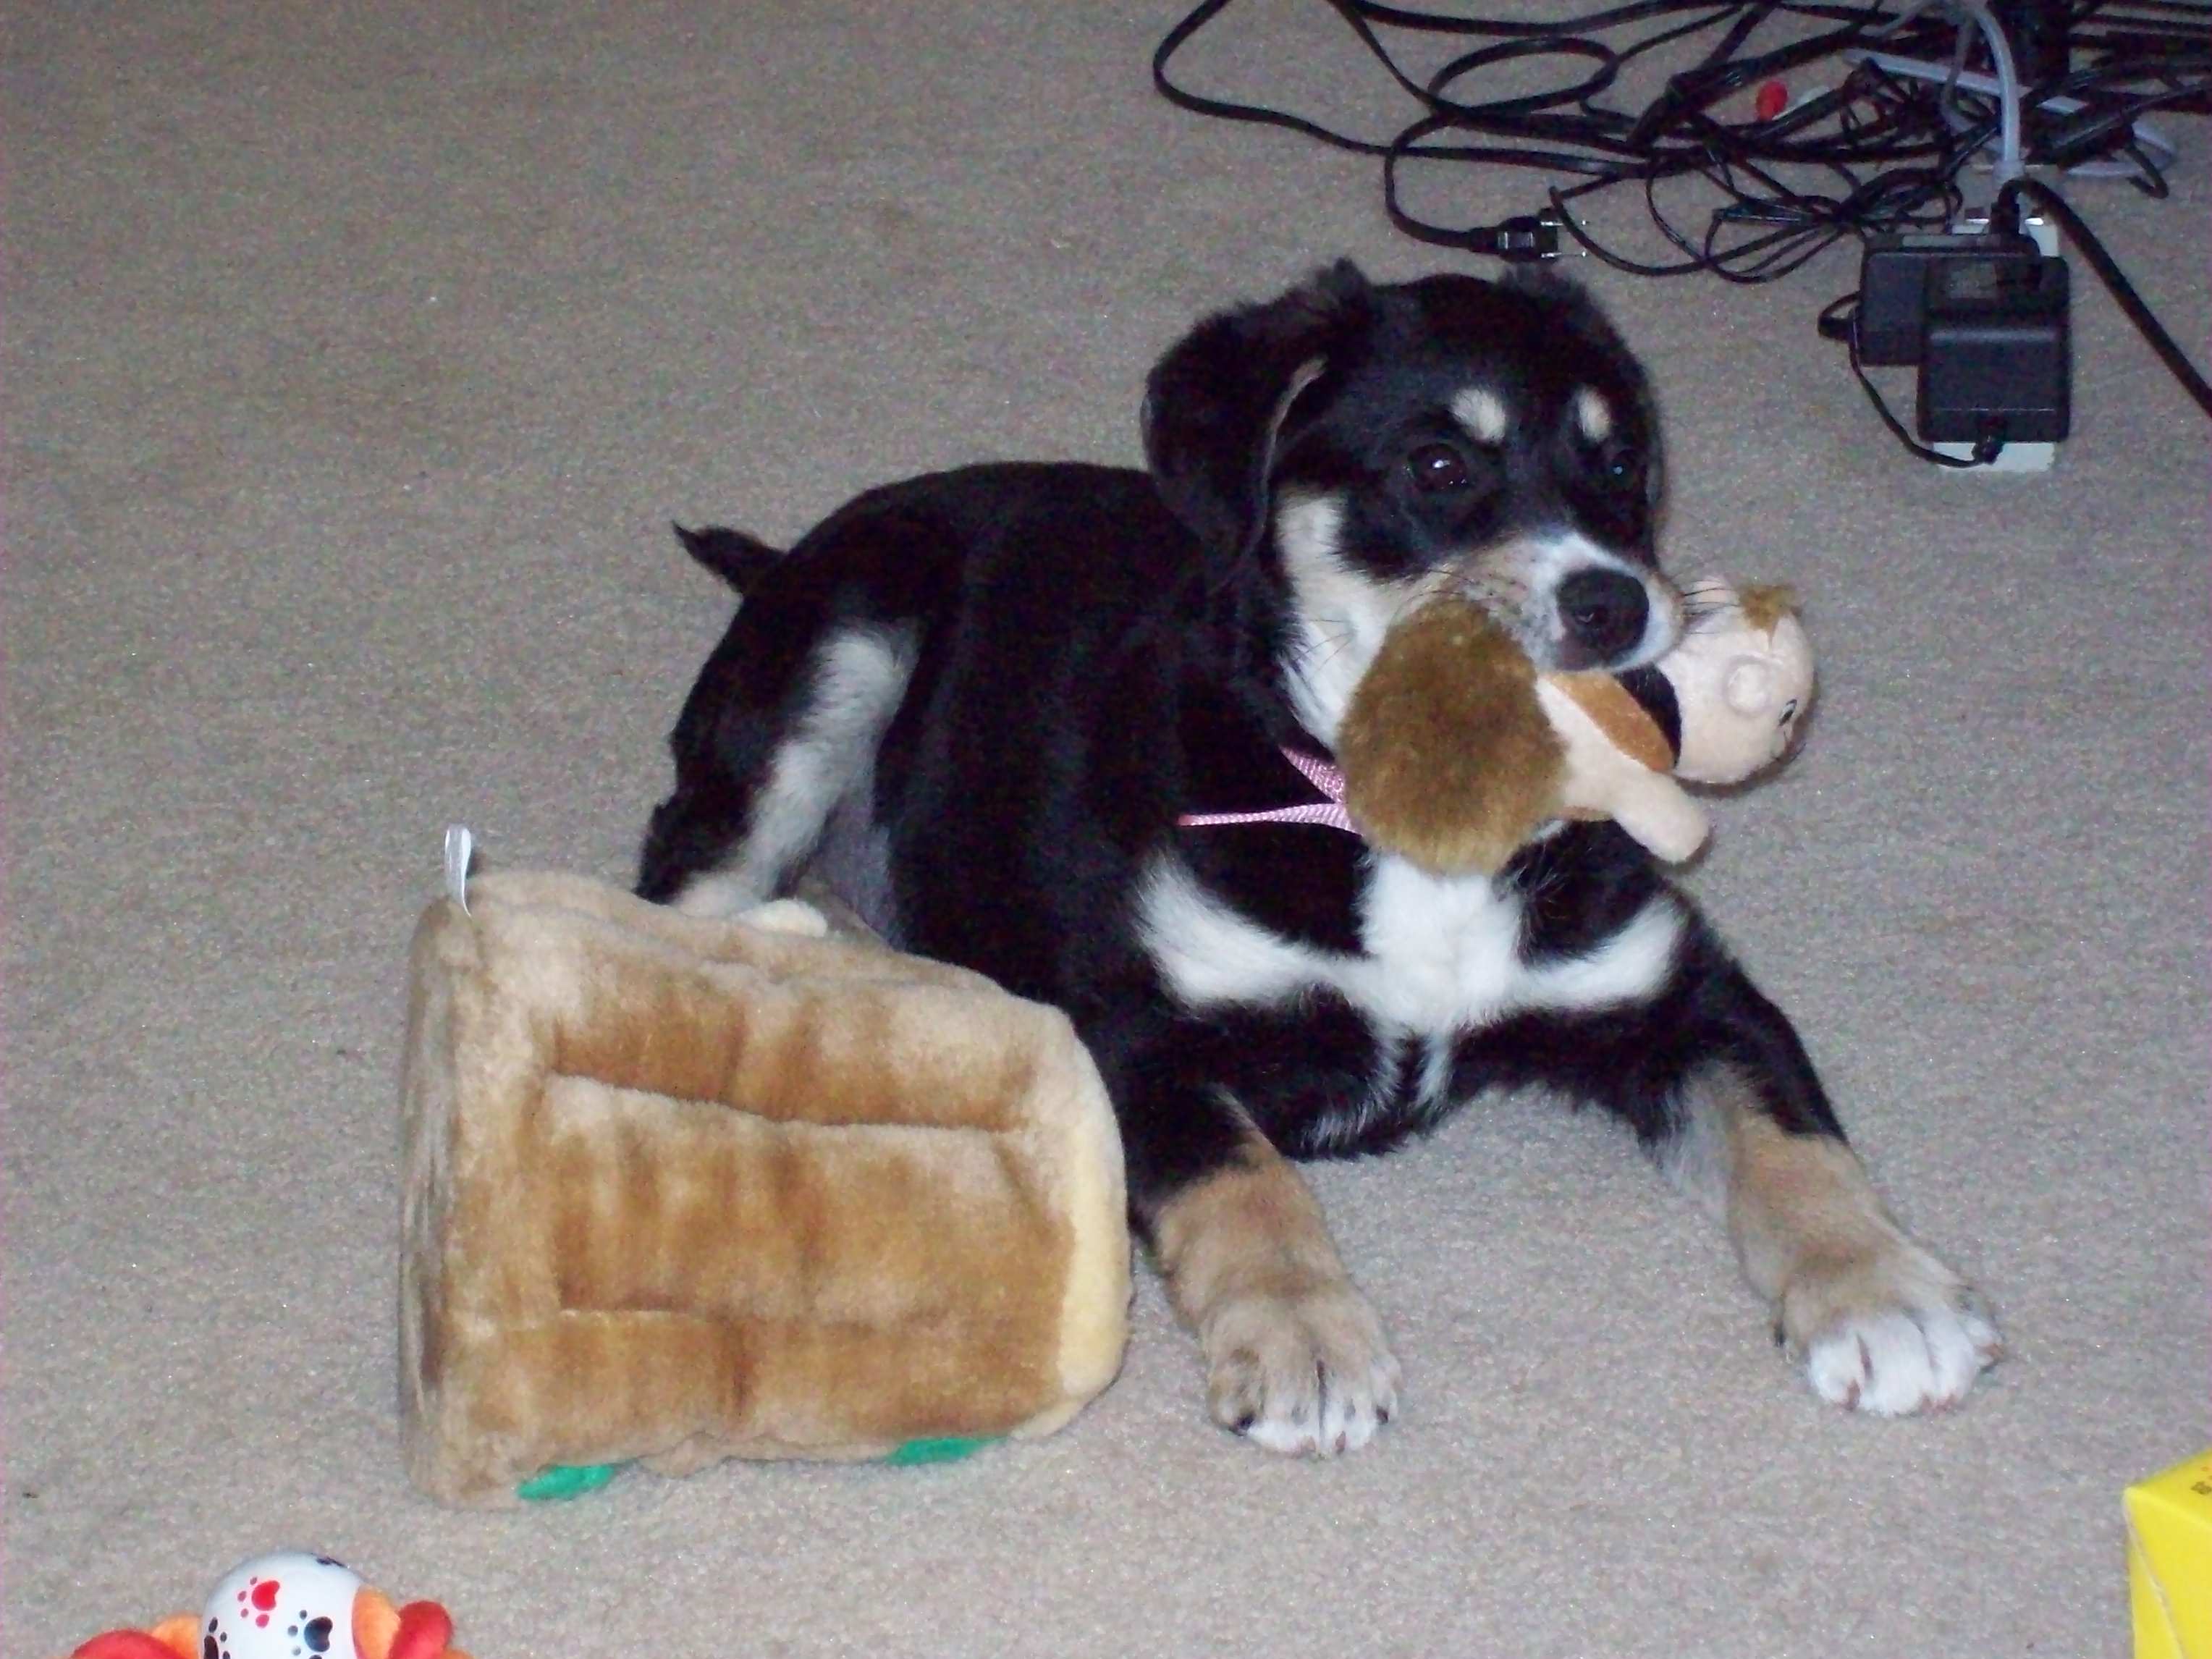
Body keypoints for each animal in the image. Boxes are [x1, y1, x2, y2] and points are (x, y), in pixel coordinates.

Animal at [636, 262, 2000, 1455]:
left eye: (1619, 464)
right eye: (1439, 465)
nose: (1616, 605)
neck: (1415, 826)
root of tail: (791, 556)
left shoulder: (1676, 989)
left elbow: (1793, 1133)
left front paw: (1885, 1297)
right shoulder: (1134, 1026)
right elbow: (1247, 1182)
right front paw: (1305, 1343)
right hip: (837, 653)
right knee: (678, 892)